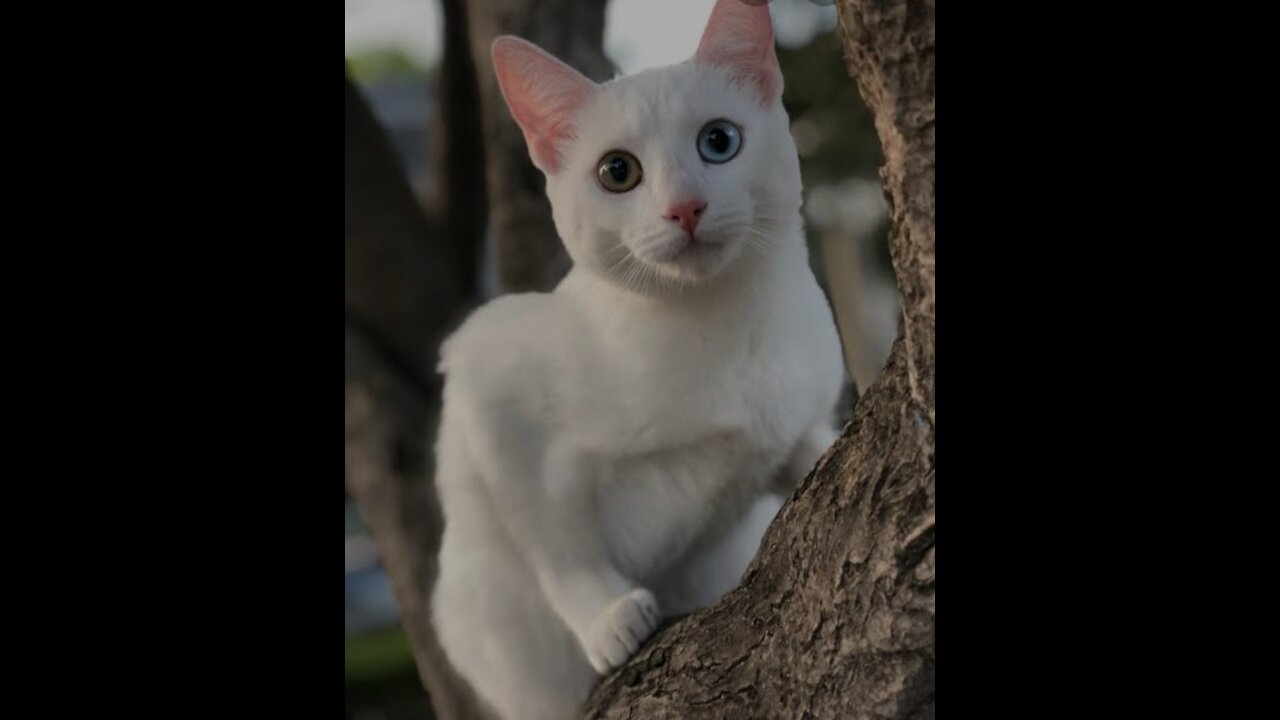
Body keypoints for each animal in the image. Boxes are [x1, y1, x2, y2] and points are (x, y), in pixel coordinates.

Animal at [430, 2, 844, 712]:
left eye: (718, 141)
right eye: (616, 172)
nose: (685, 207)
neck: (714, 329)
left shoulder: (798, 416)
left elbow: (809, 448)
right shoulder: (489, 390)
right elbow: (559, 545)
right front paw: (606, 615)